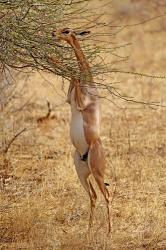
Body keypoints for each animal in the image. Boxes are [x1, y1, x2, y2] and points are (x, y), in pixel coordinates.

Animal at [52, 27, 111, 232]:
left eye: (67, 31)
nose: (53, 33)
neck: (90, 84)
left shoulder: (79, 103)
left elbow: (72, 72)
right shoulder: (69, 100)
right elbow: (73, 75)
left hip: (97, 173)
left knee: (107, 195)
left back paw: (109, 233)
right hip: (82, 173)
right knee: (93, 196)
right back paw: (88, 230)